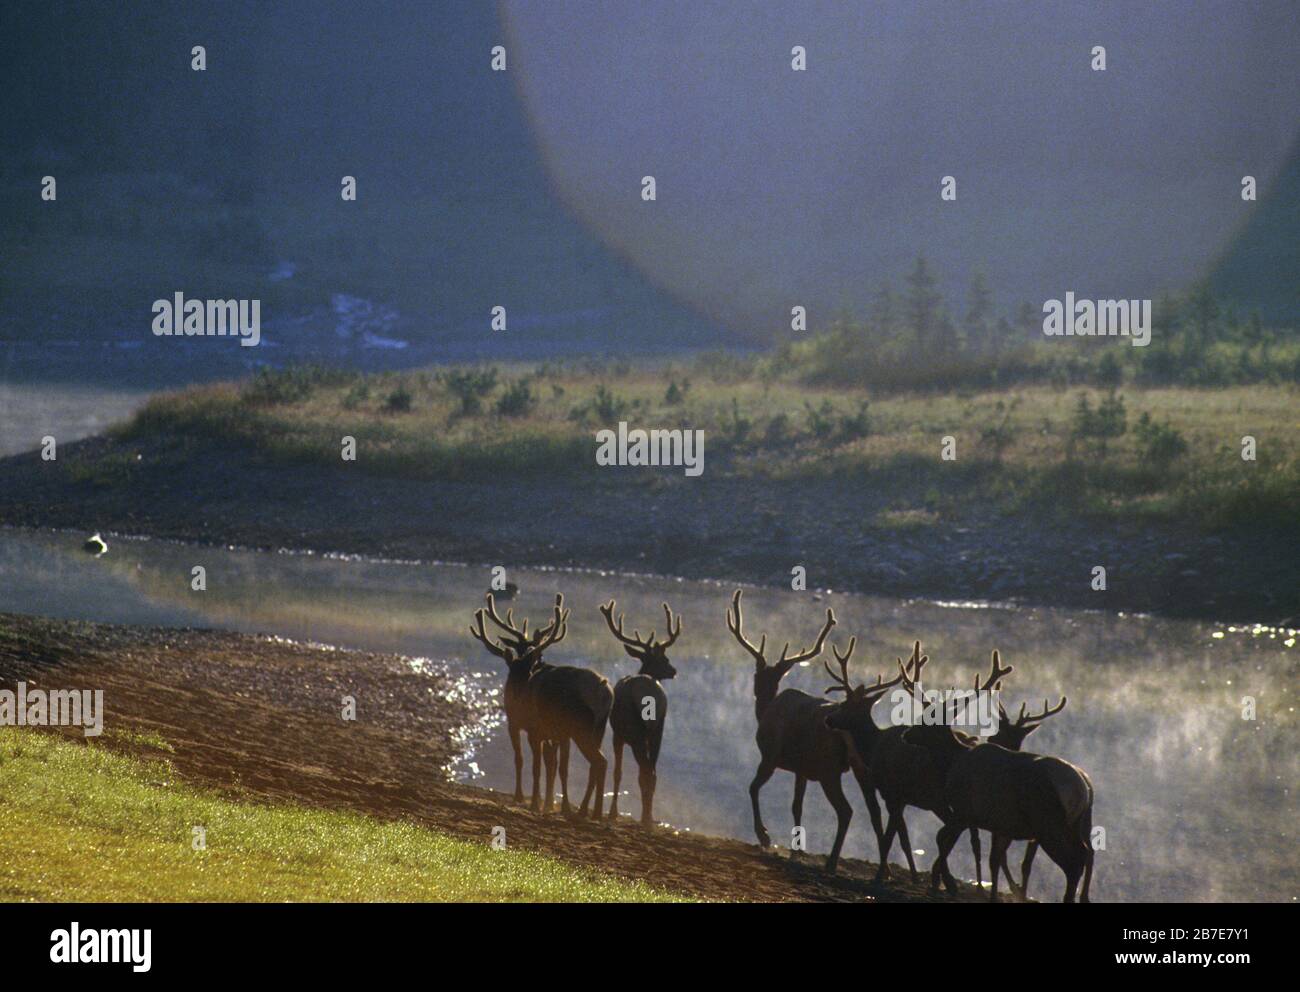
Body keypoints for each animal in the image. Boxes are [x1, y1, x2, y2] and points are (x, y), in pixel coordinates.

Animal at [469, 592, 613, 818]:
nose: (515, 694)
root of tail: (603, 690)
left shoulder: (527, 727)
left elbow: (530, 763)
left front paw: (531, 802)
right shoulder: (553, 734)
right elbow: (553, 766)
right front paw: (550, 804)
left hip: (580, 729)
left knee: (599, 761)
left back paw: (587, 811)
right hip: (597, 729)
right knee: (597, 763)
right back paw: (592, 811)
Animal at [598, 598, 681, 825]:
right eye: (664, 659)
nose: (673, 670)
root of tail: (650, 697)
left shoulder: (617, 735)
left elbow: (618, 772)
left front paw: (613, 812)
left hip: (636, 732)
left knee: (644, 770)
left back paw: (645, 817)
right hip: (657, 730)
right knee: (652, 771)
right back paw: (649, 817)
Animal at [727, 589, 898, 873]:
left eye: (756, 676)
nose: (756, 691)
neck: (765, 711)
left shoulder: (771, 755)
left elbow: (752, 788)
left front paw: (764, 835)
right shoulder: (802, 769)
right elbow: (797, 806)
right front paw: (797, 849)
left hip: (828, 769)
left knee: (846, 811)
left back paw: (832, 862)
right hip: (860, 768)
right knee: (874, 813)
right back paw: (882, 869)